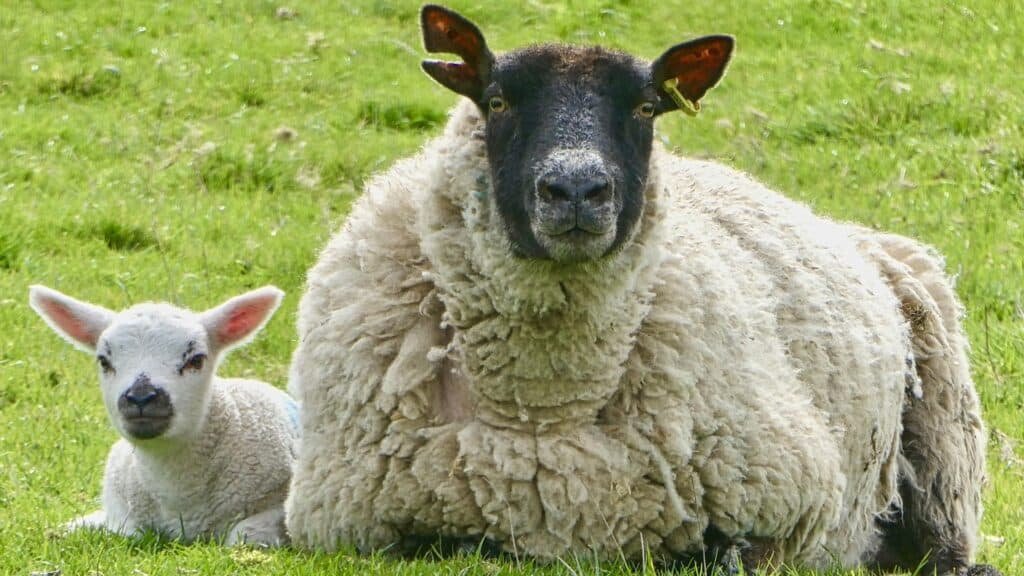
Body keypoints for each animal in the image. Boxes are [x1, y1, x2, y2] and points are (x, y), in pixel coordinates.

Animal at [29, 285, 298, 547]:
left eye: (196, 360)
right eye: (104, 361)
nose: (140, 397)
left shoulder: (278, 505)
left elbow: (245, 535)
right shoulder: (122, 510)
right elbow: (129, 532)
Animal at [284, 5, 998, 575]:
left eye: (647, 107)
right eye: (496, 100)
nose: (576, 189)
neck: (541, 407)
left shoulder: (787, 509)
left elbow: (726, 554)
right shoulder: (355, 522)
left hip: (943, 458)